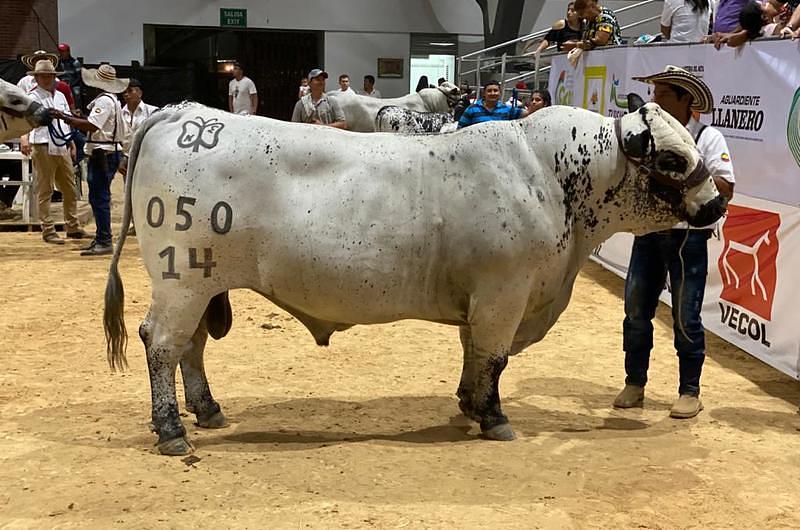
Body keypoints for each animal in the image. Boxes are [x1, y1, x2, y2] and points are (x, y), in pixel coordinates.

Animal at [104, 100, 724, 454]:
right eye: (671, 159)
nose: (718, 204)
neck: (552, 177)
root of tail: (182, 114)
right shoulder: (504, 294)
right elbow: (494, 357)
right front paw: (494, 418)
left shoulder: (483, 299)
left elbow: (475, 355)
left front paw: (469, 405)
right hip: (182, 279)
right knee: (162, 343)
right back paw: (171, 430)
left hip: (201, 283)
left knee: (191, 346)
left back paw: (207, 410)